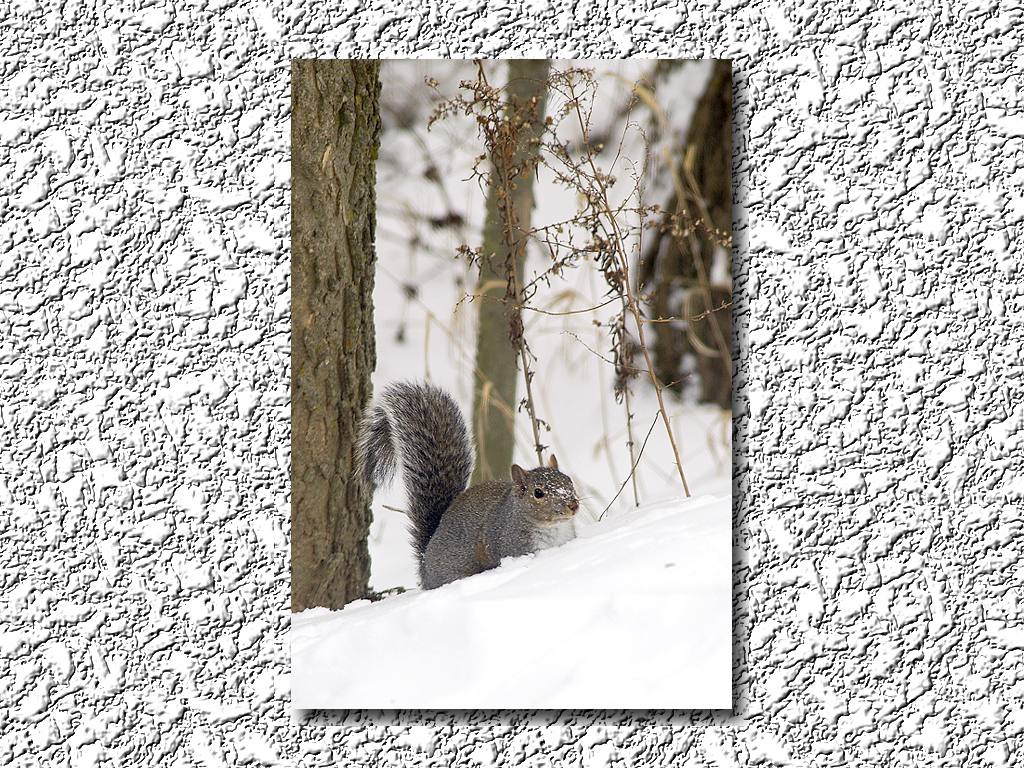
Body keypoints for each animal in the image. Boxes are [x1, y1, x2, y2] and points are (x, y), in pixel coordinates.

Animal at [358, 382, 585, 593]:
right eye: (538, 493)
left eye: (569, 481)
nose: (573, 505)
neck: (553, 528)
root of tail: (425, 564)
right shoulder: (510, 543)